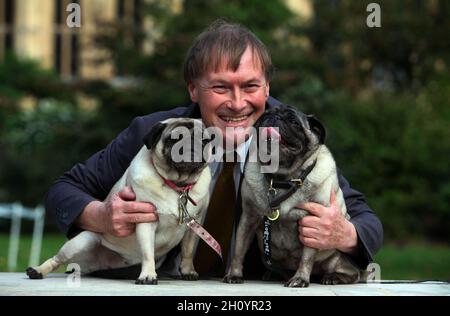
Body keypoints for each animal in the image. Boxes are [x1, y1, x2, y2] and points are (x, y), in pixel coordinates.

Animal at [26, 118, 213, 284]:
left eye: (204, 140)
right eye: (174, 139)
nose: (192, 144)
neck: (177, 186)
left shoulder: (194, 225)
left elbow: (188, 251)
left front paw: (188, 271)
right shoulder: (146, 220)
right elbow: (148, 252)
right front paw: (148, 275)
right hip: (83, 240)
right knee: (56, 259)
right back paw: (37, 270)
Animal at [224, 105, 358, 286]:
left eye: (294, 122)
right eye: (264, 116)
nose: (275, 117)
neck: (282, 179)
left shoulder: (312, 225)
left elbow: (307, 258)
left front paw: (300, 278)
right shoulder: (248, 219)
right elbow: (239, 250)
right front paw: (235, 274)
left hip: (336, 258)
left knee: (352, 273)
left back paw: (333, 277)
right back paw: (273, 274)